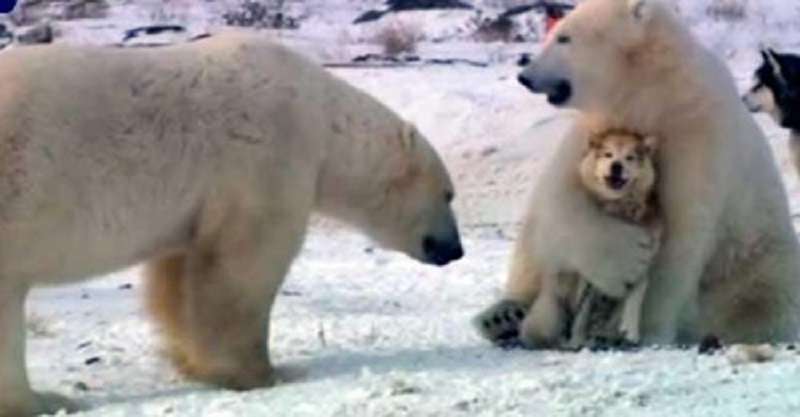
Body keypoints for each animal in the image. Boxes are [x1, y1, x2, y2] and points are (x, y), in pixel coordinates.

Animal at [0, 33, 462, 416]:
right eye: (448, 194)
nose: (455, 249)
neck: (321, 114)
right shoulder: (267, 156)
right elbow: (243, 269)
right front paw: (262, 373)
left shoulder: (196, 202)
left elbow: (179, 273)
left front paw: (191, 361)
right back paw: (45, 400)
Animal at [478, 0, 800, 346]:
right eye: (556, 32)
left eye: (564, 37)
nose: (524, 76)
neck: (651, 91)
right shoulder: (601, 123)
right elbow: (561, 195)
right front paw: (625, 260)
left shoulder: (695, 137)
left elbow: (680, 235)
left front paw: (646, 329)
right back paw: (503, 315)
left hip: (760, 259)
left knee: (766, 296)